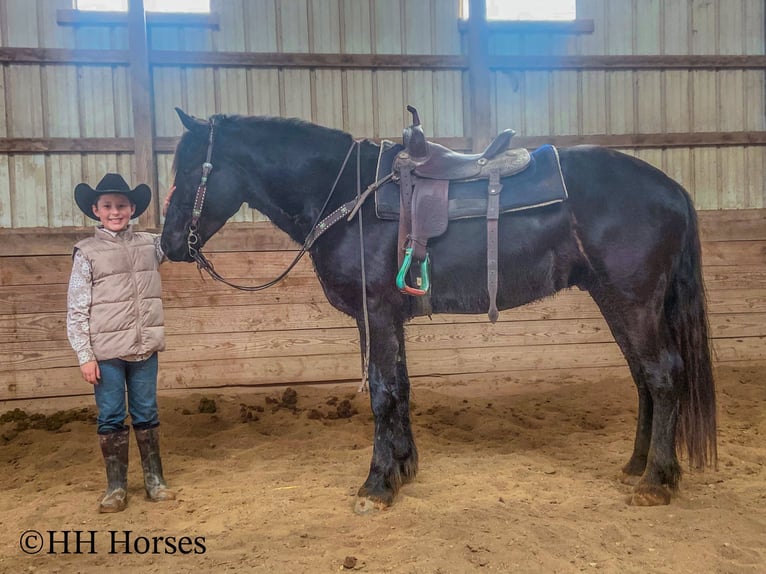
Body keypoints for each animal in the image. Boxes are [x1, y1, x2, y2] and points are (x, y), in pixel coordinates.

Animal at [164, 109, 720, 512]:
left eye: (191, 170)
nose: (169, 244)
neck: (346, 196)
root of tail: (672, 189)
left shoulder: (376, 315)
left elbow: (383, 395)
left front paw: (377, 485)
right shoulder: (387, 319)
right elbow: (401, 389)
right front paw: (403, 468)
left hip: (635, 302)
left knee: (664, 375)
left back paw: (656, 480)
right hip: (616, 300)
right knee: (643, 379)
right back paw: (639, 466)